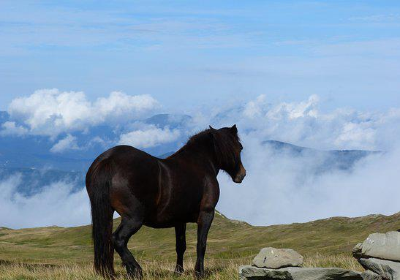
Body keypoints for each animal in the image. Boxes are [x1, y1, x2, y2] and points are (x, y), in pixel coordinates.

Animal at [86, 125, 245, 278]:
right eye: (239, 147)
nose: (241, 174)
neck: (201, 163)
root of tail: (108, 160)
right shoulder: (206, 214)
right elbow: (201, 244)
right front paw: (199, 273)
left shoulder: (180, 220)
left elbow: (180, 246)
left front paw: (178, 272)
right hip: (134, 218)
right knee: (118, 240)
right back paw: (137, 270)